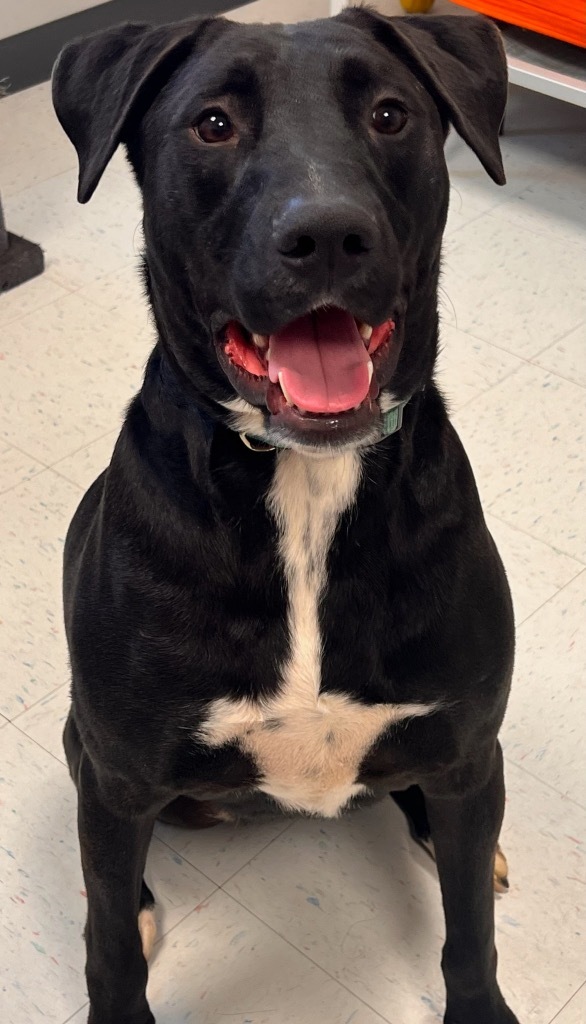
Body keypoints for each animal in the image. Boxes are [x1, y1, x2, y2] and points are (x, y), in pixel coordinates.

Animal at [51, 9, 516, 1024]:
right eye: (212, 125)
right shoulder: (119, 771)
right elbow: (108, 941)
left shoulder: (468, 745)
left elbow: (470, 928)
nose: (329, 233)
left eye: (390, 114)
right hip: (85, 750)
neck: (305, 481)